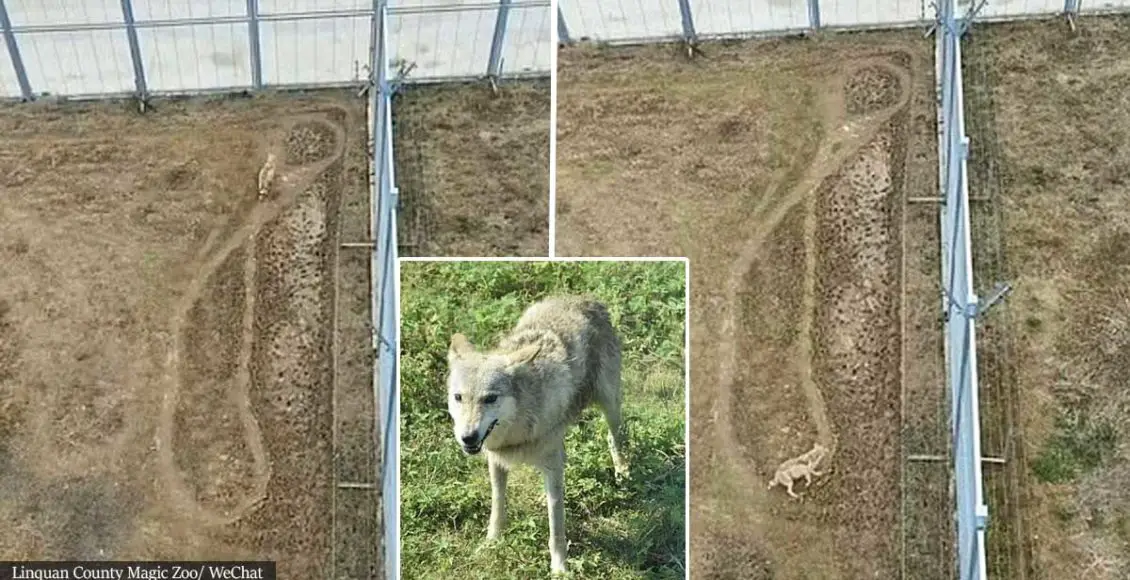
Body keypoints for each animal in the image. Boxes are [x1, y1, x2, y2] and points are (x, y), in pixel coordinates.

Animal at [445, 296, 632, 572]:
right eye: (458, 397)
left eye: (490, 398)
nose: (467, 437)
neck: (518, 430)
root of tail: (587, 299)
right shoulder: (495, 461)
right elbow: (497, 507)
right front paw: (491, 543)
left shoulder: (552, 469)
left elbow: (556, 527)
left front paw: (559, 568)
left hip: (609, 405)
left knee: (614, 438)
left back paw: (623, 472)